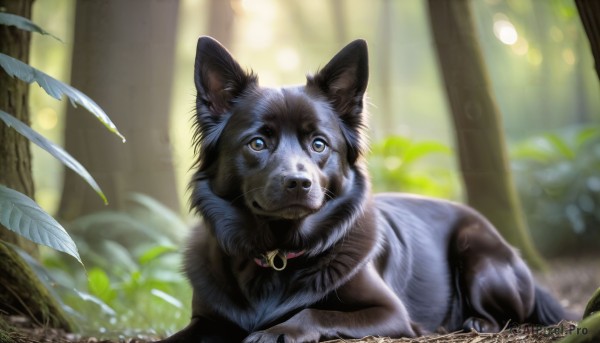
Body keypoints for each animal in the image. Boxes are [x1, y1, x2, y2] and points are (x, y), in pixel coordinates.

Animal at [161, 36, 572, 342]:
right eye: (258, 143)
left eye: (319, 144)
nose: (298, 183)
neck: (279, 254)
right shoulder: (204, 320)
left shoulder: (391, 313)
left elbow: (315, 311)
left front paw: (277, 330)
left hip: (479, 256)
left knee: (510, 313)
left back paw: (477, 322)